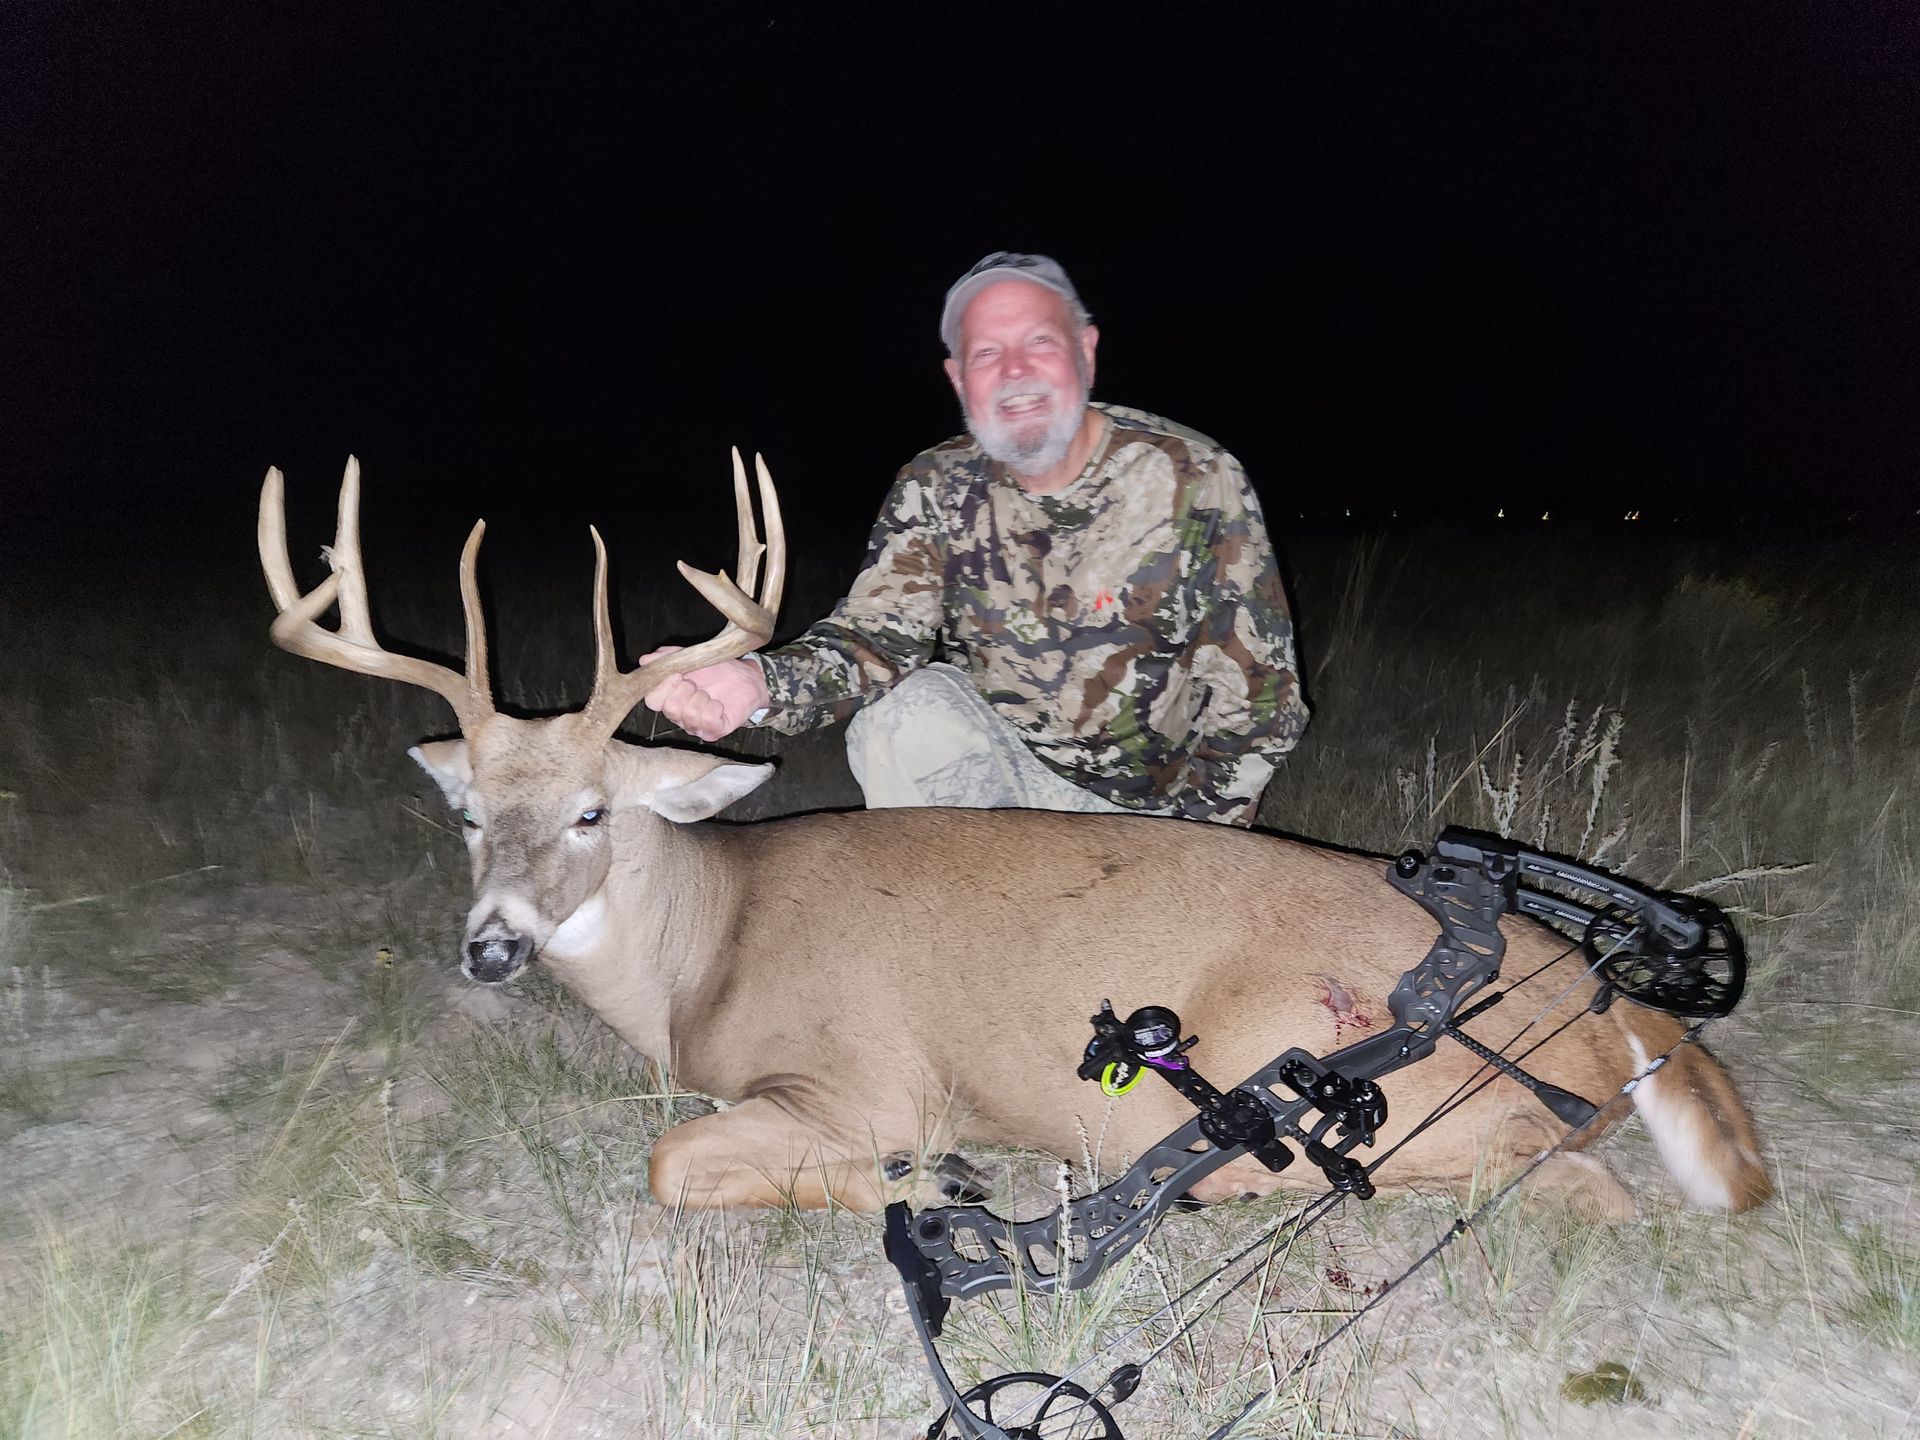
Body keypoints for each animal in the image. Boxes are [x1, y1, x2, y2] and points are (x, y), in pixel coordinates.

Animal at [258, 455, 1769, 1221]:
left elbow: (677, 1161)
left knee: (1569, 1177)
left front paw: (923, 1181)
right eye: (467, 813)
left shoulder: (863, 1080)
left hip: (1304, 1085)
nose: (492, 949)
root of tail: (1617, 1006)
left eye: (591, 810)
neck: (708, 951)